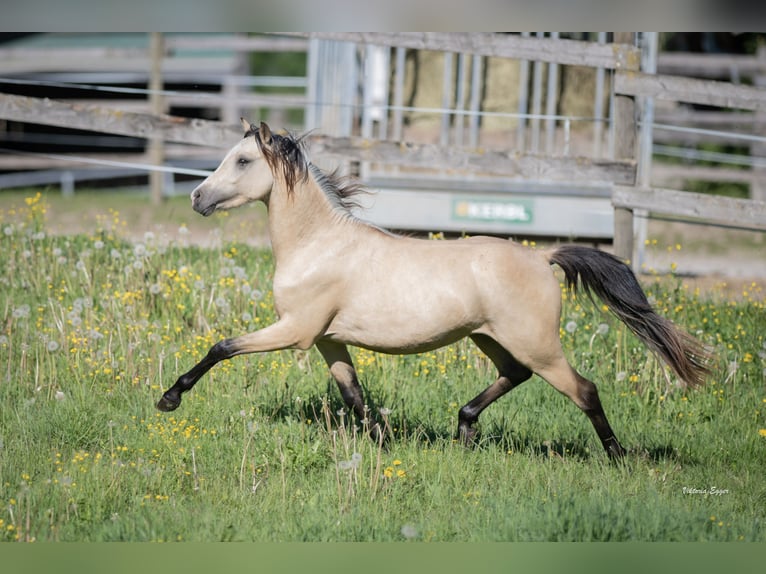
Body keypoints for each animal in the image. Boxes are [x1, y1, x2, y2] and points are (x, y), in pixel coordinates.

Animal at [156, 119, 713, 459]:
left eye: (243, 161)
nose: (197, 197)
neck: (318, 245)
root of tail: (541, 258)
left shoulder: (295, 330)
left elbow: (222, 346)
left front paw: (169, 399)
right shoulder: (328, 341)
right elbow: (355, 395)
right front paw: (384, 447)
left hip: (538, 345)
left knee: (585, 390)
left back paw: (617, 457)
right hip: (490, 337)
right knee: (513, 374)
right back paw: (463, 430)